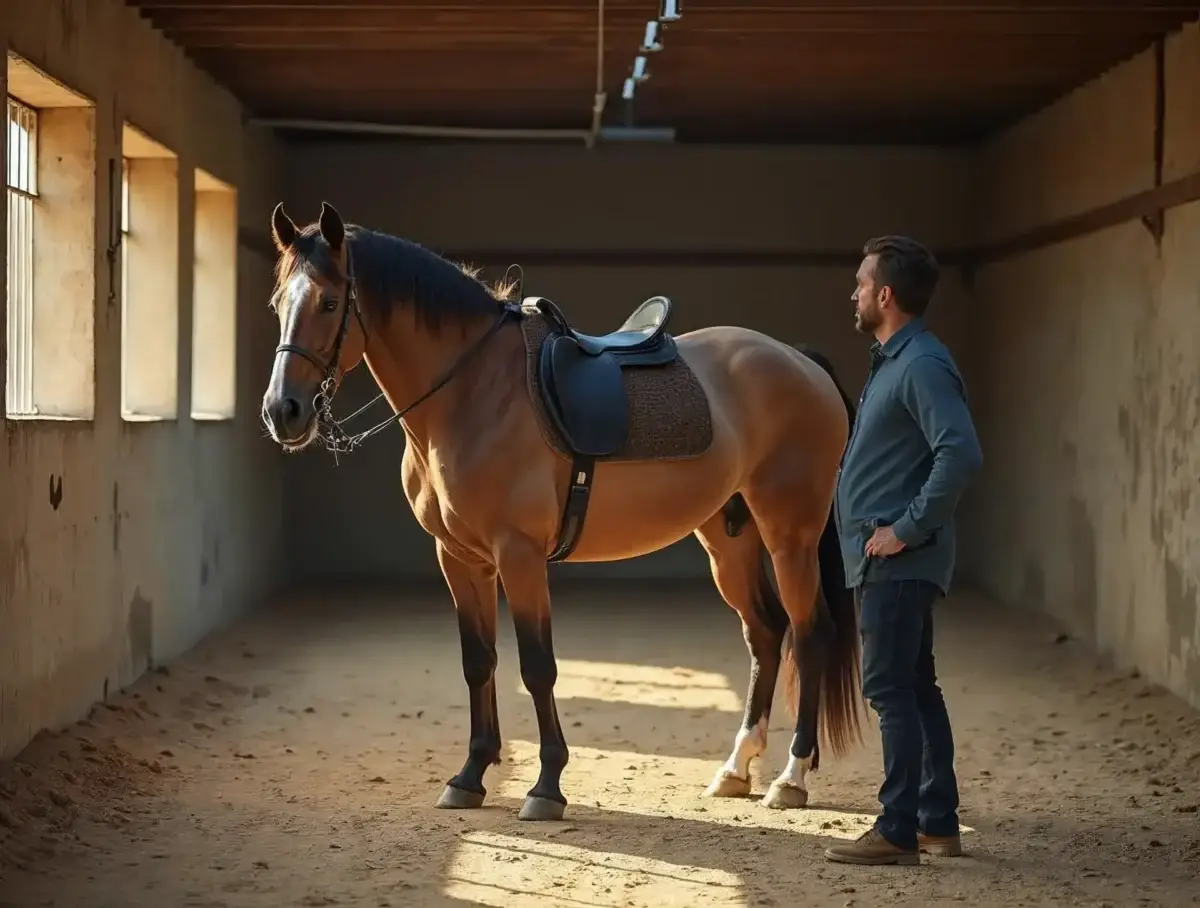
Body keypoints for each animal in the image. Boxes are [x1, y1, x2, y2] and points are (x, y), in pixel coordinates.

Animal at [260, 201, 864, 822]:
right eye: (278, 303)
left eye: (329, 302)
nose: (283, 411)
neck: (474, 392)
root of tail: (801, 362)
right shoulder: (460, 558)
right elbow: (478, 662)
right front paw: (469, 776)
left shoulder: (519, 554)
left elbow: (537, 665)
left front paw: (546, 785)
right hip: (728, 539)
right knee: (765, 633)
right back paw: (736, 768)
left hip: (789, 533)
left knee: (810, 634)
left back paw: (790, 777)